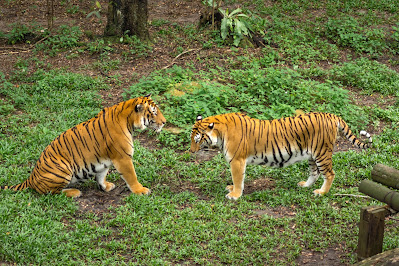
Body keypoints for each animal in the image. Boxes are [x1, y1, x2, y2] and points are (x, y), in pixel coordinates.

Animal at [0, 95, 166, 197]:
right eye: (153, 112)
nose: (165, 122)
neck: (129, 122)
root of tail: (31, 177)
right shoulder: (123, 158)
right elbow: (131, 176)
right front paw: (140, 190)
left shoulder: (104, 161)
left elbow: (101, 175)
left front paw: (105, 186)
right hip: (63, 168)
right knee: (50, 192)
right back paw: (74, 192)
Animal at [191, 111, 372, 200]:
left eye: (197, 139)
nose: (192, 152)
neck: (220, 133)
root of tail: (331, 115)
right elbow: (238, 180)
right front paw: (232, 189)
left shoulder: (237, 161)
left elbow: (238, 179)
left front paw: (234, 195)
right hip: (312, 155)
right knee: (315, 173)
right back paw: (305, 185)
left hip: (322, 153)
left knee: (330, 174)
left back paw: (321, 192)